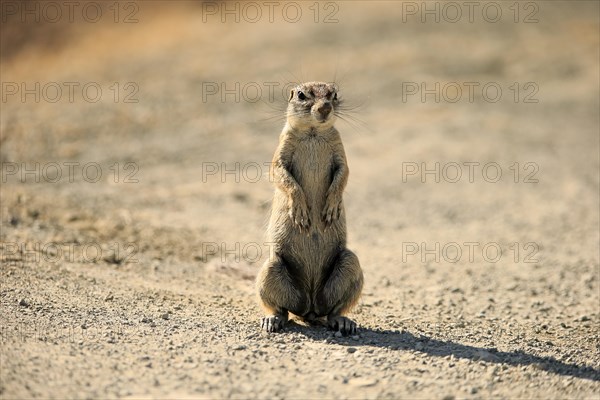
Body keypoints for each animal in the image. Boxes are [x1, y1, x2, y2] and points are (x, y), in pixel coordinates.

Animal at [255, 80, 364, 334]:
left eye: (334, 95)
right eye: (302, 95)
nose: (325, 108)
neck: (313, 132)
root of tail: (311, 306)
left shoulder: (339, 149)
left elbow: (343, 173)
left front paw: (331, 207)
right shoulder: (282, 147)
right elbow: (280, 173)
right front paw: (301, 213)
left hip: (350, 265)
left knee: (334, 309)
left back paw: (343, 322)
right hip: (271, 269)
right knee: (282, 309)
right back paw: (272, 321)